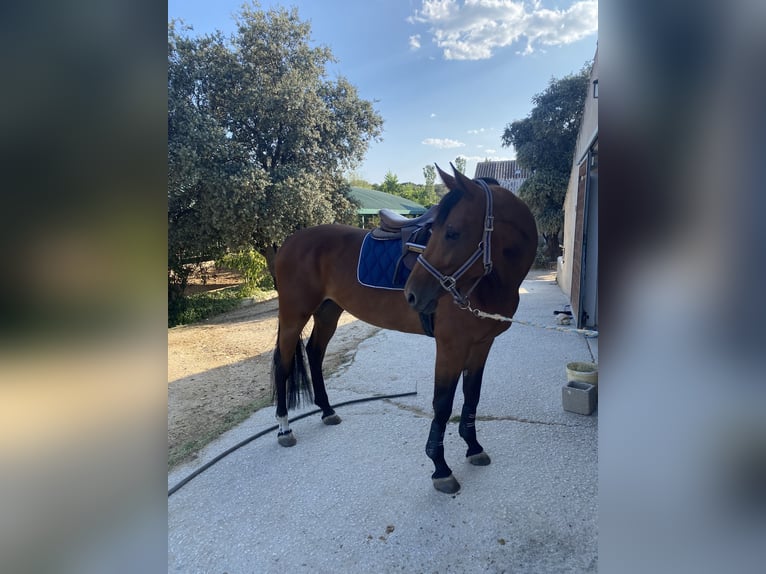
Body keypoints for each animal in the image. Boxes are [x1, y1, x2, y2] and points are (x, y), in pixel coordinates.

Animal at [272, 164, 536, 492]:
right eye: (440, 231)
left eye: (452, 232)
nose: (412, 294)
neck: (488, 282)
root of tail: (288, 242)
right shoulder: (451, 347)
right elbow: (443, 404)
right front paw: (440, 468)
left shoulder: (482, 345)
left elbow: (471, 396)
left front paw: (473, 448)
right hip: (293, 315)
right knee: (283, 364)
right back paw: (284, 429)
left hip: (328, 312)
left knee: (315, 353)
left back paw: (327, 411)